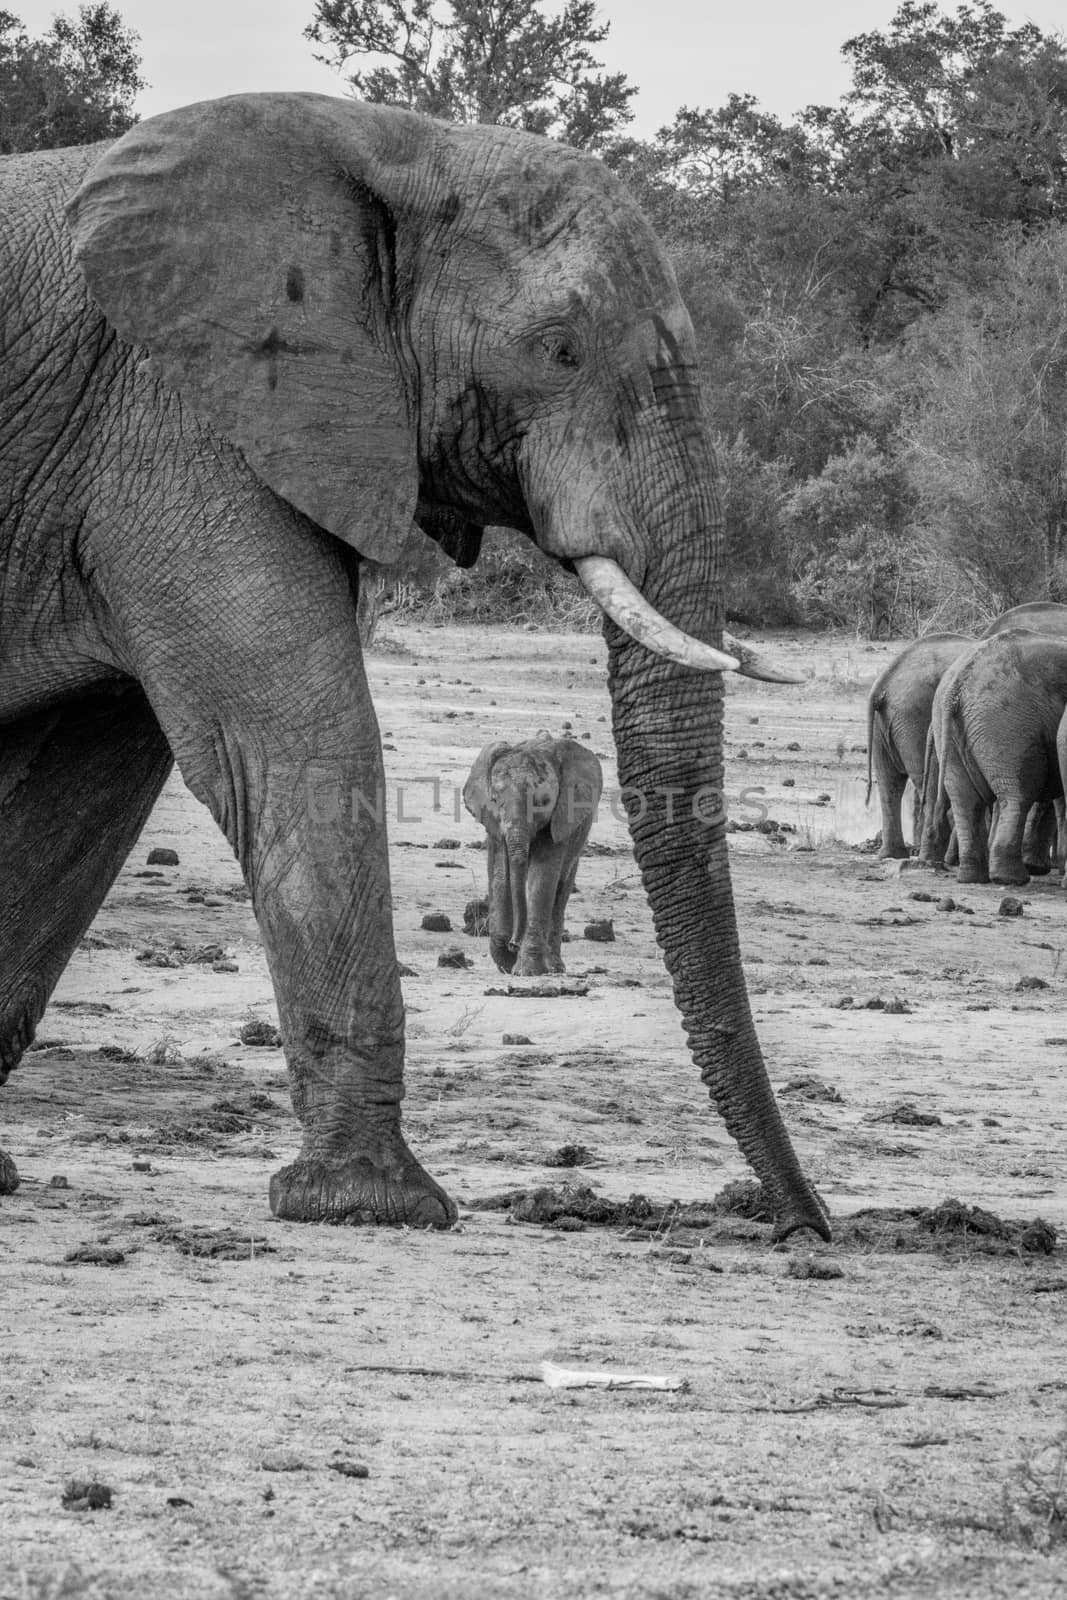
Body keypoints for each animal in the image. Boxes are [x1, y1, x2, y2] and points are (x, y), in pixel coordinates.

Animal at [463, 729, 604, 972]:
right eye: (494, 800)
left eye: (544, 802)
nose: (513, 944)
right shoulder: (494, 824)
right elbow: (499, 873)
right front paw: (507, 964)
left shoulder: (561, 818)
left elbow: (542, 877)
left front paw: (527, 971)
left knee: (561, 888)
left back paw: (555, 967)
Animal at [870, 633, 979, 864]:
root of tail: (884, 681)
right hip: (913, 716)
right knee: (922, 784)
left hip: (890, 722)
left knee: (889, 782)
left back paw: (895, 855)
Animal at [927, 627, 1067, 889]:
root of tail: (957, 685)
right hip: (1008, 723)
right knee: (1018, 794)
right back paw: (1011, 879)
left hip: (948, 722)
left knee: (966, 799)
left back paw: (973, 877)